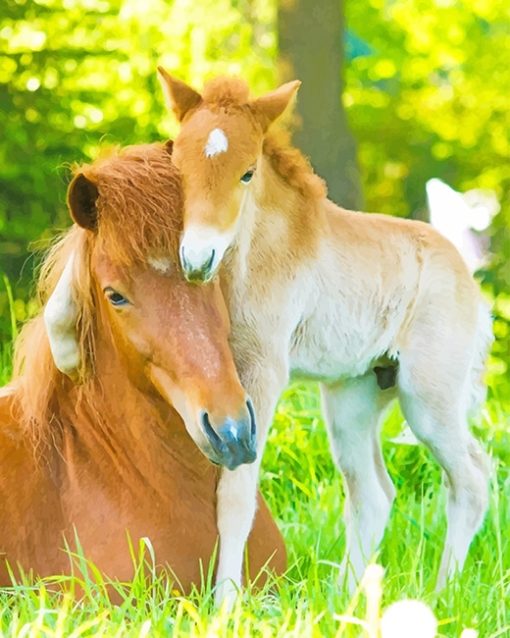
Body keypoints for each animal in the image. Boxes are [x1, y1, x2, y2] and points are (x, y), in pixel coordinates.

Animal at [157, 70, 492, 604]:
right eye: (177, 166)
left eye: (247, 172)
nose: (197, 259)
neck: (254, 255)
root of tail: (468, 275)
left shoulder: (263, 373)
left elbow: (236, 491)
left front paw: (225, 604)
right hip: (353, 397)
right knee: (373, 494)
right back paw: (343, 600)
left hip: (429, 398)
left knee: (471, 479)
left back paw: (441, 595)